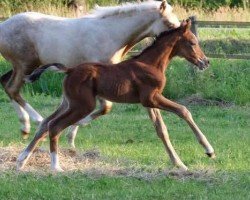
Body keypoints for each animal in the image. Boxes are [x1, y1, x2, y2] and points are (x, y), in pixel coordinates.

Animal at [17, 20, 215, 173]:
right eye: (192, 42)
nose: (205, 62)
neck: (150, 64)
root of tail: (70, 70)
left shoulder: (148, 102)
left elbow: (161, 130)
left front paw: (179, 164)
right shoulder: (152, 98)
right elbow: (183, 110)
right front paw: (209, 150)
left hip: (68, 103)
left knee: (45, 123)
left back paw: (21, 161)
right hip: (82, 105)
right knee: (55, 126)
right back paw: (56, 167)